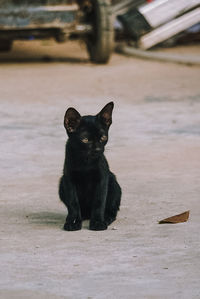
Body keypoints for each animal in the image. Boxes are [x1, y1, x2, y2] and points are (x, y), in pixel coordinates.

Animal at [58, 102, 121, 231]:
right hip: (61, 183)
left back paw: (107, 218)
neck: (85, 163)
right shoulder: (69, 179)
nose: (97, 149)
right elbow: (73, 203)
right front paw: (73, 222)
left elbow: (99, 202)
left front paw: (97, 223)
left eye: (103, 138)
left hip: (113, 181)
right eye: (85, 140)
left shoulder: (102, 178)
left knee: (112, 209)